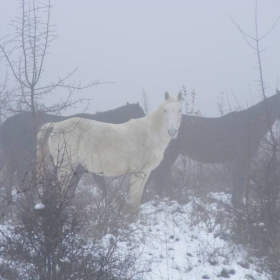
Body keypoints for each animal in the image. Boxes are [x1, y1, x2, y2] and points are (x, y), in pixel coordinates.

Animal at [37, 93, 182, 211]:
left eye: (180, 110)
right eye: (165, 110)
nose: (172, 131)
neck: (149, 135)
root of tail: (55, 125)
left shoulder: (145, 174)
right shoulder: (137, 173)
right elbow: (133, 199)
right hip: (65, 168)